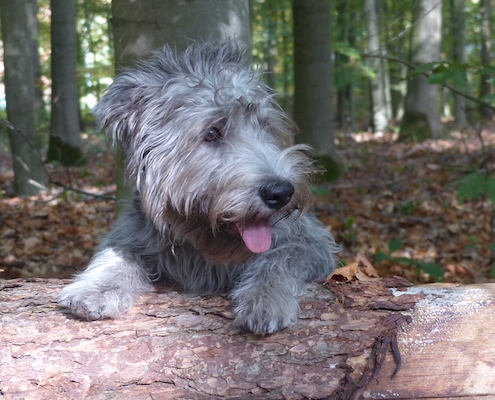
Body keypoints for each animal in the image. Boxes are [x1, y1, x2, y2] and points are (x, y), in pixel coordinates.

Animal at [57, 42, 338, 334]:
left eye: (265, 126)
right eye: (212, 132)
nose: (281, 192)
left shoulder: (311, 241)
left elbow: (281, 257)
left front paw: (266, 299)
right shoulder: (131, 235)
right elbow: (118, 254)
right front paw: (97, 289)